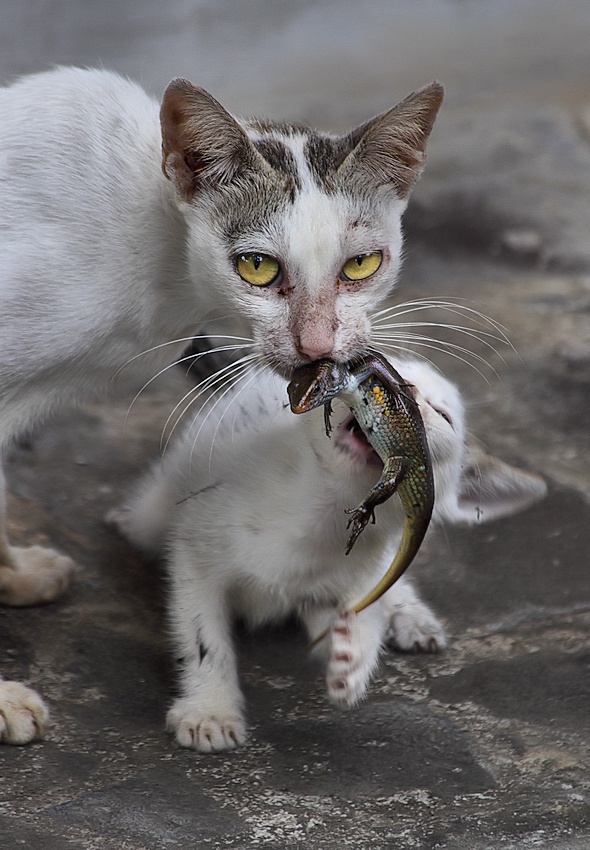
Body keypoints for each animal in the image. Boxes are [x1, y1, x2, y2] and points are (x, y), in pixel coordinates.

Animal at [113, 354, 548, 752]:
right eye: (400, 375)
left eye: (443, 415)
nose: (402, 393)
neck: (323, 510)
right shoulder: (196, 548)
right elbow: (203, 633)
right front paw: (210, 709)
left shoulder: (361, 569)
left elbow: (364, 605)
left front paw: (353, 655)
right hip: (157, 510)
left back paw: (409, 615)